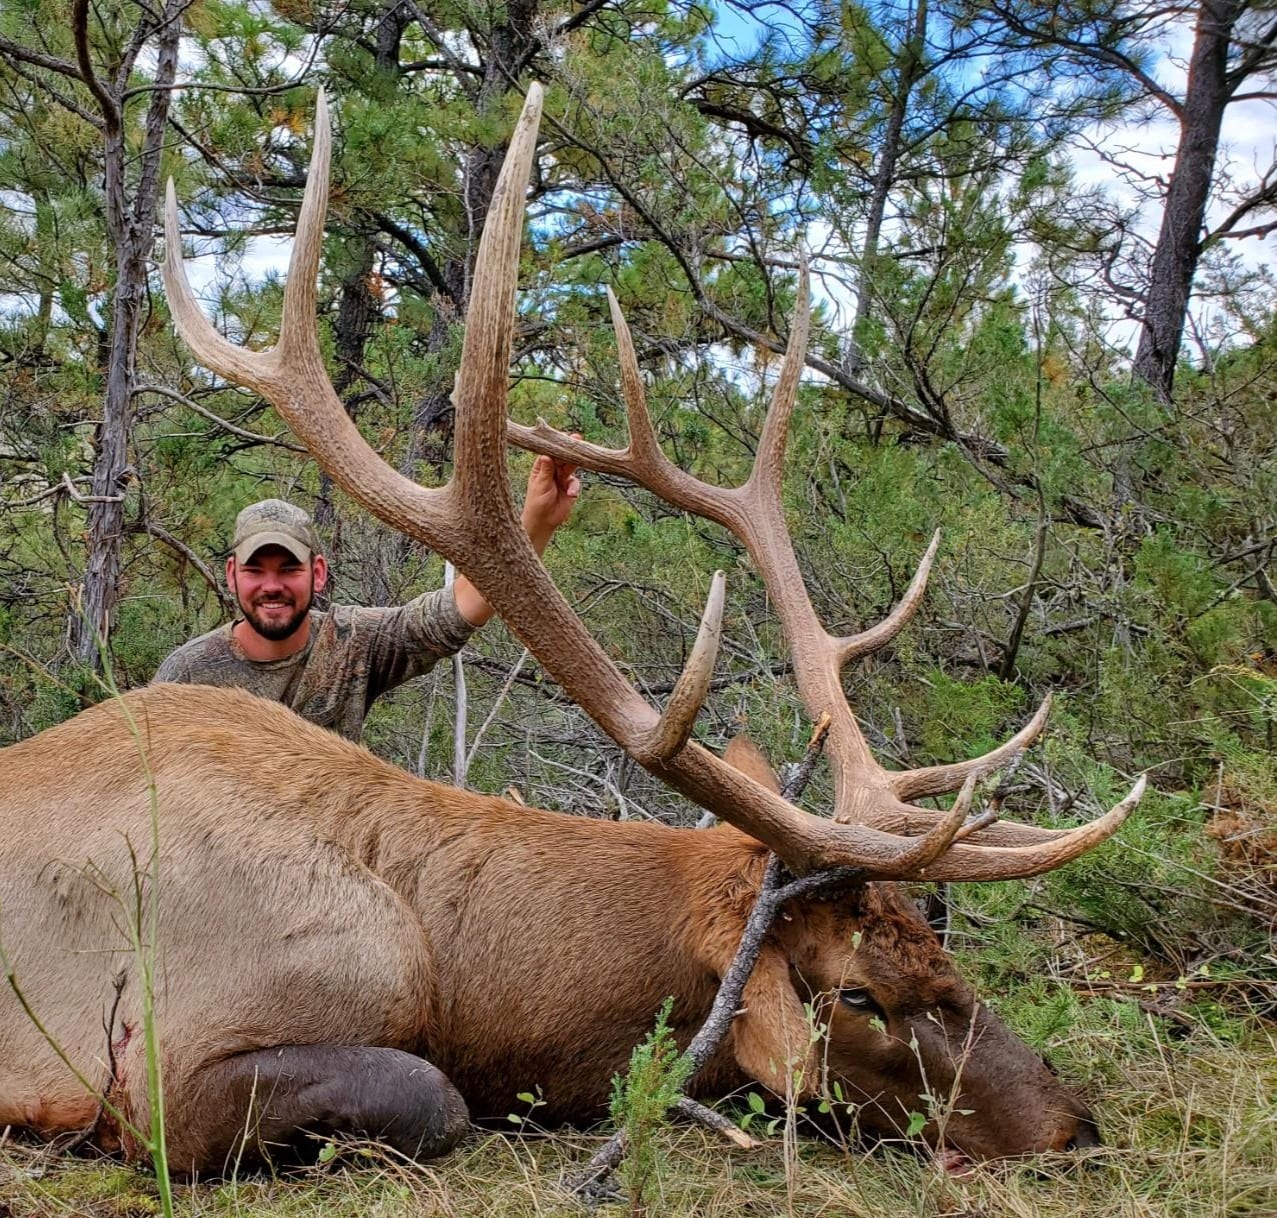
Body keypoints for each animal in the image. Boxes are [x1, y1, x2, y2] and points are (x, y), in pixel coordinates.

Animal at [0, 83, 1144, 1179]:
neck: (449, 968)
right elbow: (434, 1095)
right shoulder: (160, 1074)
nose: (1073, 1124)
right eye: (856, 993)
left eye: (937, 950)